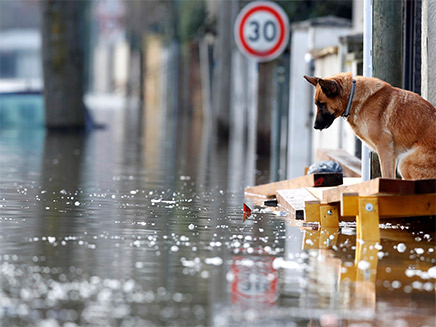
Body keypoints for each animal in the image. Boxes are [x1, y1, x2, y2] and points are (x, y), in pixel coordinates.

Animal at [304, 73, 436, 181]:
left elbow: (387, 176)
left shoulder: (385, 148)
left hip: (405, 162)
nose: (315, 126)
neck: (353, 96)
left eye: (321, 105)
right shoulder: (391, 154)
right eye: (316, 104)